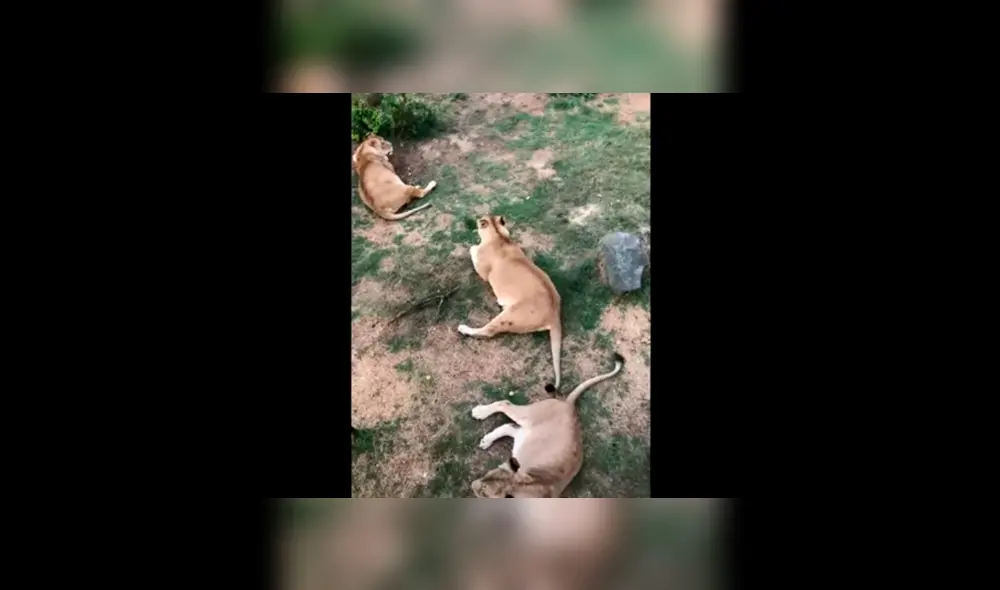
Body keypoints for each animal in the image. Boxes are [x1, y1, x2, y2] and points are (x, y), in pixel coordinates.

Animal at [459, 214, 563, 391]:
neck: (499, 236)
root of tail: (554, 313)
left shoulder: (483, 272)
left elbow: (473, 250)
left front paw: (472, 246)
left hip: (508, 317)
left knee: (487, 331)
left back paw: (464, 328)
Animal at [469, 353, 625, 498]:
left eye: (484, 491)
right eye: (486, 475)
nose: (472, 485)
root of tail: (569, 405)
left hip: (525, 435)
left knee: (509, 426)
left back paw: (486, 440)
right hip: (528, 414)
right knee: (505, 403)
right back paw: (480, 412)